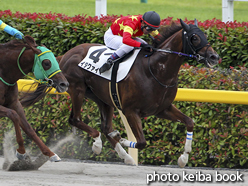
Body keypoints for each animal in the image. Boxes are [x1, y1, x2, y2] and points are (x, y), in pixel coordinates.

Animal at [25, 19, 219, 167]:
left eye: (205, 35)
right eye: (194, 37)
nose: (214, 57)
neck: (156, 70)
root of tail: (65, 55)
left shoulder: (162, 109)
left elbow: (190, 122)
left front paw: (183, 158)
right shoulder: (131, 110)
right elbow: (141, 142)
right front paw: (123, 139)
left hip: (102, 98)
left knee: (105, 127)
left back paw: (125, 156)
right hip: (77, 89)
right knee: (76, 119)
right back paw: (98, 144)